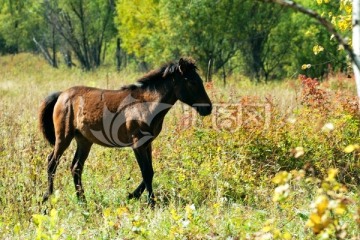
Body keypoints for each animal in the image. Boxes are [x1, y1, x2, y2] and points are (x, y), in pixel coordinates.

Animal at [38, 58, 212, 206]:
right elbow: (146, 172)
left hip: (84, 141)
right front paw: (150, 203)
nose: (208, 108)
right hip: (64, 137)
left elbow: (150, 171)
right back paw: (47, 197)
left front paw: (131, 196)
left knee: (76, 167)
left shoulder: (148, 144)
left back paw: (83, 202)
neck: (146, 105)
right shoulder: (137, 144)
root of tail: (62, 94)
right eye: (192, 82)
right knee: (52, 162)